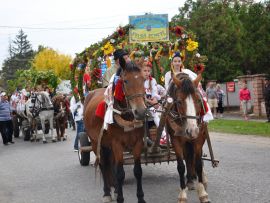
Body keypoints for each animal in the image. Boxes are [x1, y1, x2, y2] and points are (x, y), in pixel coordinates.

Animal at [84, 61, 148, 203]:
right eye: (125, 81)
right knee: (103, 164)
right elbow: (119, 173)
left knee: (110, 163)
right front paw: (120, 198)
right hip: (96, 142)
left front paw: (141, 198)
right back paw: (107, 193)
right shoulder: (117, 144)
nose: (141, 112)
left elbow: (138, 171)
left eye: (144, 79)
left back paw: (116, 189)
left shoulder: (138, 143)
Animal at [167, 73, 211, 203]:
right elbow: (181, 166)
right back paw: (190, 181)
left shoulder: (198, 139)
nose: (192, 130)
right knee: (187, 158)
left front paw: (202, 193)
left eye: (198, 100)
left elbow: (198, 164)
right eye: (179, 101)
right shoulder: (176, 140)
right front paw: (182, 194)